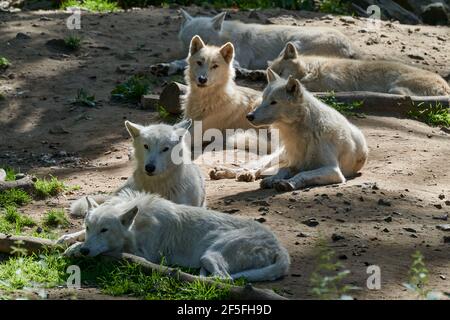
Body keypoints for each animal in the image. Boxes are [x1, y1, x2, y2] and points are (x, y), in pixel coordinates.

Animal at [63, 191, 290, 282]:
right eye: (89, 227)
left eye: (105, 230)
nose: (85, 250)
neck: (139, 225)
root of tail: (280, 248)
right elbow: (76, 237)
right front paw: (69, 242)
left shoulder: (144, 255)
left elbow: (115, 250)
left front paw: (76, 249)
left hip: (211, 254)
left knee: (223, 278)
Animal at [151, 9, 362, 75]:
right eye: (186, 43)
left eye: (207, 41)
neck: (226, 36)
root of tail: (351, 47)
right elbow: (181, 62)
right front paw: (164, 66)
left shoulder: (238, 58)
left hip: (294, 43)